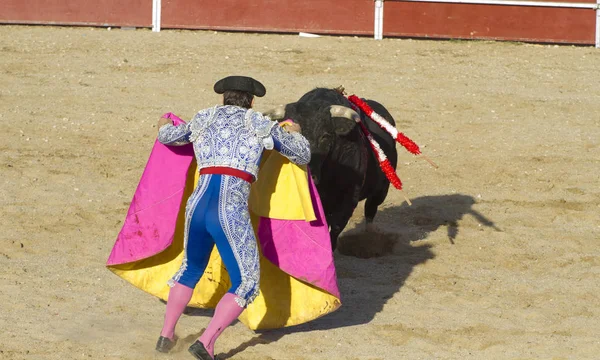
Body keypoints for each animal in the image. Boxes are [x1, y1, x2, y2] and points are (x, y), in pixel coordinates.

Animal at [264, 88, 396, 249]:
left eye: (325, 136)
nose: (311, 177)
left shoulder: (349, 199)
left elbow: (336, 228)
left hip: (382, 189)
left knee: (371, 209)